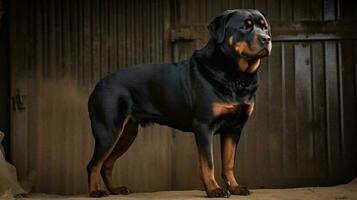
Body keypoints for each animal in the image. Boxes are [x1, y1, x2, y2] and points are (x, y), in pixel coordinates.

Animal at [87, 9, 272, 197]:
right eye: (245, 27)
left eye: (265, 27)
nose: (267, 38)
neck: (236, 75)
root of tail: (98, 85)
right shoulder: (204, 125)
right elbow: (208, 163)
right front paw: (214, 189)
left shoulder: (234, 128)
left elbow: (228, 163)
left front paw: (235, 187)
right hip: (108, 131)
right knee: (94, 164)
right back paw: (96, 192)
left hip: (127, 133)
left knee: (107, 163)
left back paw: (115, 189)